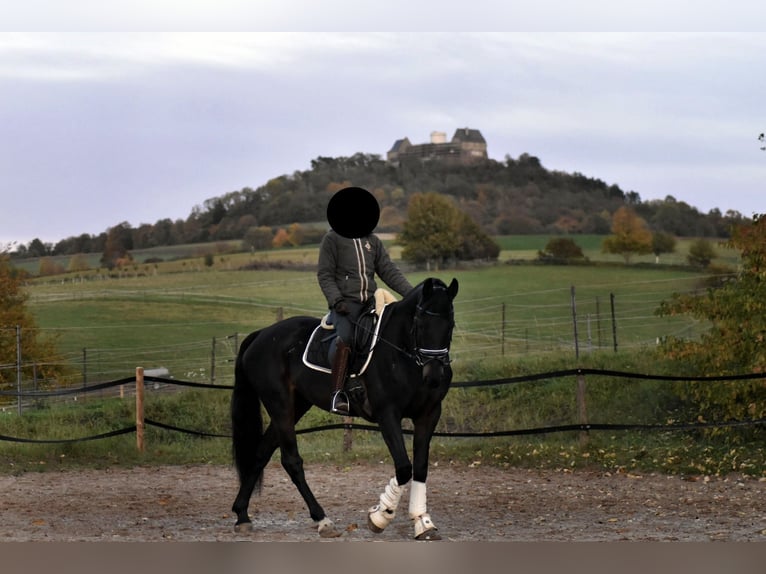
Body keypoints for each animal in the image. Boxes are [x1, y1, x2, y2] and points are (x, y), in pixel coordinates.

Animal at [230, 277, 458, 540]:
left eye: (450, 324)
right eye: (420, 323)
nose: (434, 376)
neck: (403, 356)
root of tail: (261, 335)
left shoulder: (428, 414)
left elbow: (420, 468)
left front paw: (423, 522)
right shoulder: (387, 414)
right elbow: (403, 468)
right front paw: (379, 516)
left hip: (296, 406)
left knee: (261, 453)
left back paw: (242, 515)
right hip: (280, 405)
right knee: (291, 461)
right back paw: (322, 519)